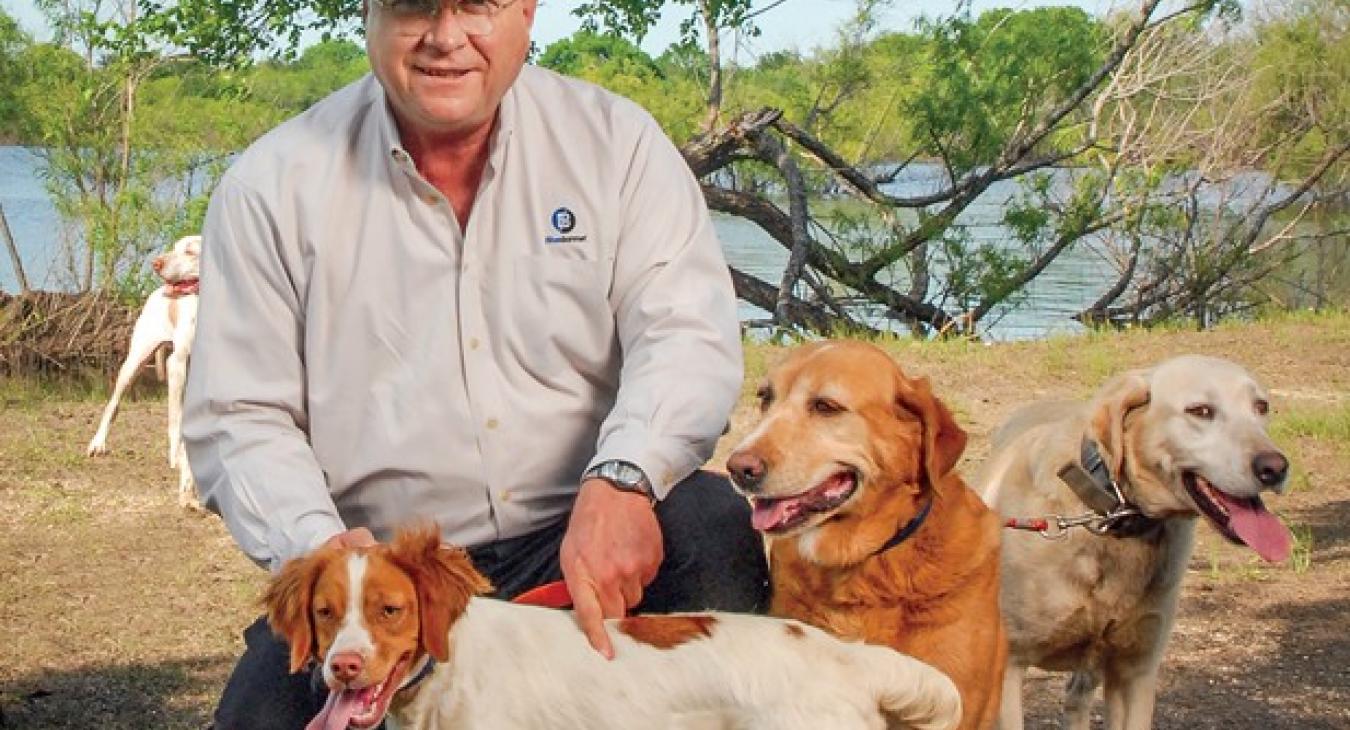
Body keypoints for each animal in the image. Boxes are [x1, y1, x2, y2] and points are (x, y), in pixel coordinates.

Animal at [87, 234, 201, 507]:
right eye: (175, 246)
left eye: (191, 251)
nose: (156, 263)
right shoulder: (178, 365)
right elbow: (177, 422)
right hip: (135, 361)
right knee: (114, 404)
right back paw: (98, 443)